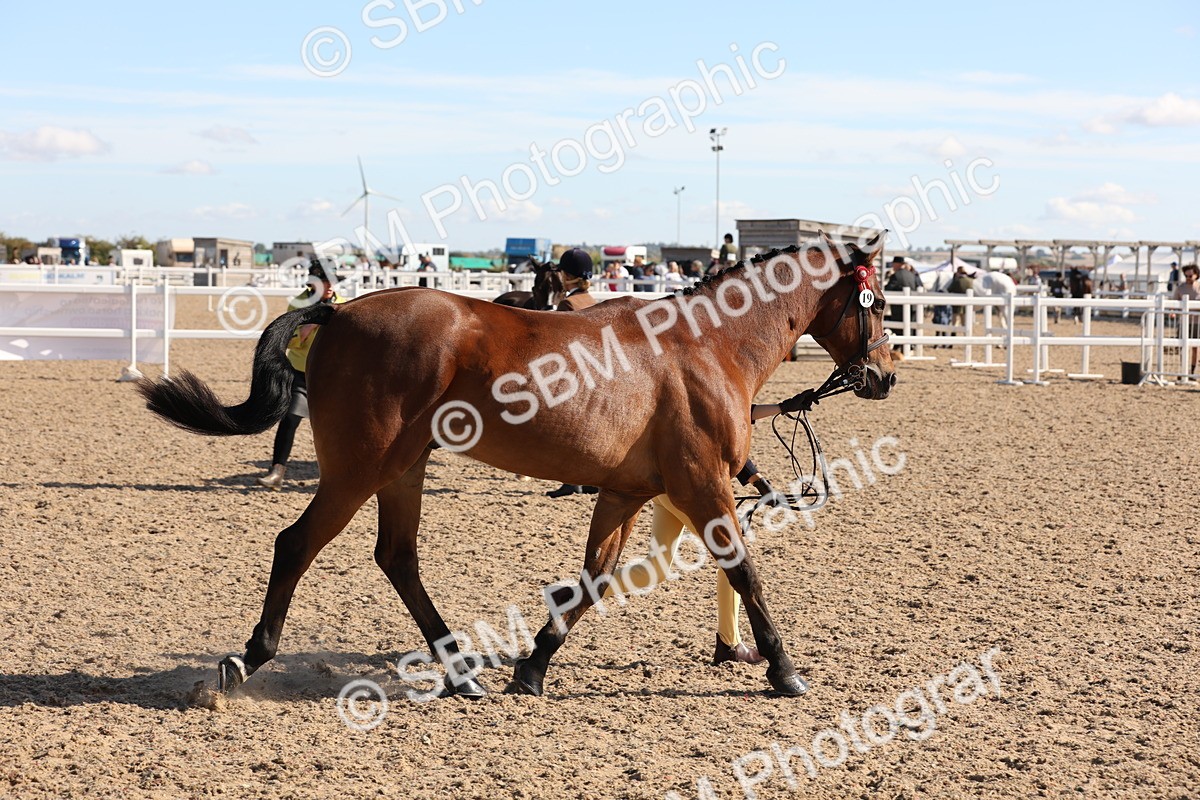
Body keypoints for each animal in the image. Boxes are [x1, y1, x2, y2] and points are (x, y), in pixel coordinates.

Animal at [137, 232, 896, 699]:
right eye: (880, 300)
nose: (886, 374)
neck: (707, 346)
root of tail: (341, 313)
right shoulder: (703, 486)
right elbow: (746, 573)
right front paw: (785, 671)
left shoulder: (624, 492)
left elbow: (593, 579)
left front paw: (531, 666)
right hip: (359, 470)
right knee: (296, 544)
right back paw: (247, 659)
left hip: (402, 468)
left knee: (397, 558)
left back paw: (462, 672)